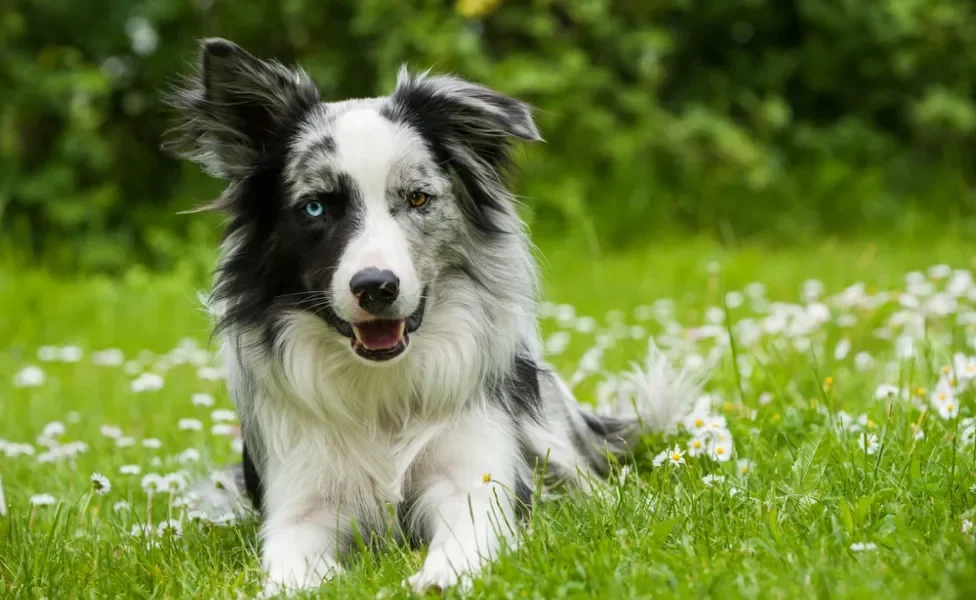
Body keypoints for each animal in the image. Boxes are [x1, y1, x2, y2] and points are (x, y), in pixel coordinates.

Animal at [164, 39, 696, 596]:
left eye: (417, 198)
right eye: (315, 208)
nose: (376, 286)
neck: (383, 390)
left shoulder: (473, 478)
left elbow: (469, 532)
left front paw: (441, 575)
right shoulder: (301, 506)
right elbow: (290, 567)